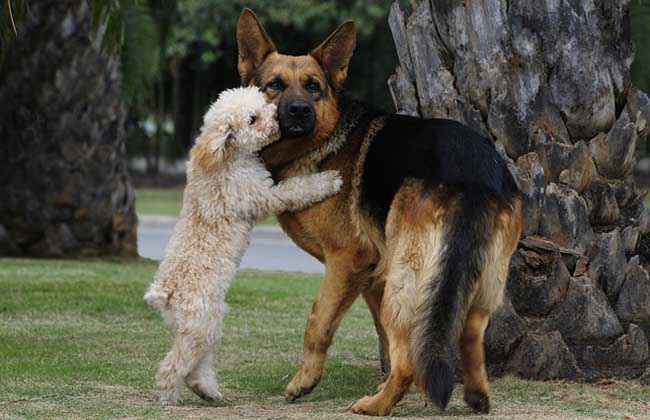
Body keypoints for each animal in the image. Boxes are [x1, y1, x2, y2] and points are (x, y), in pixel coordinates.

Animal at [145, 86, 342, 406]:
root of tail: (165, 294)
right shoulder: (263, 195)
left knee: (195, 365)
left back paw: (208, 391)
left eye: (261, 102)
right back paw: (169, 397)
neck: (228, 157)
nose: (277, 115)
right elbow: (297, 189)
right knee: (174, 365)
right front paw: (329, 180)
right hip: (202, 324)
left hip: (205, 327)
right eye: (253, 119)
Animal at [237, 8, 520, 416]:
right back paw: (475, 397)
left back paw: (376, 405)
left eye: (313, 87)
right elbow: (383, 338)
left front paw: (303, 382)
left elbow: (318, 323)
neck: (323, 140)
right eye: (274, 85)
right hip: (479, 284)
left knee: (406, 362)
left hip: (407, 284)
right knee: (468, 333)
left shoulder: (348, 261)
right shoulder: (373, 275)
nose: (300, 111)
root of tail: (474, 172)